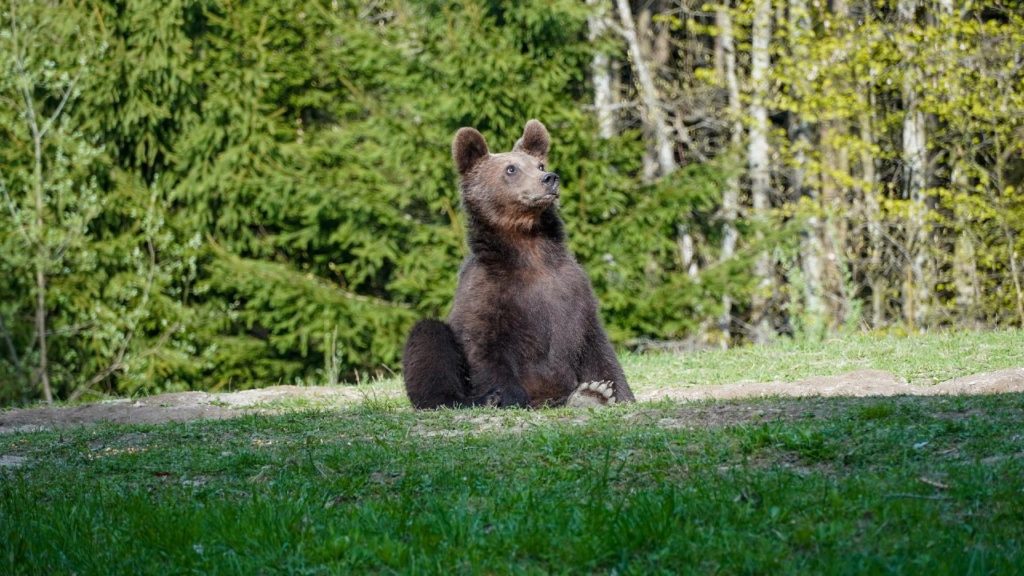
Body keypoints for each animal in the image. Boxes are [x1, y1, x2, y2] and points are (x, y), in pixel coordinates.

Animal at [401, 118, 630, 405]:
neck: (529, 250)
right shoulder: (488, 293)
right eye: (511, 169)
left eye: (539, 165)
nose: (549, 178)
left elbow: (596, 345)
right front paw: (505, 396)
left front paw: (608, 390)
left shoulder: (572, 290)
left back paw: (586, 395)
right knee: (429, 336)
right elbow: (485, 348)